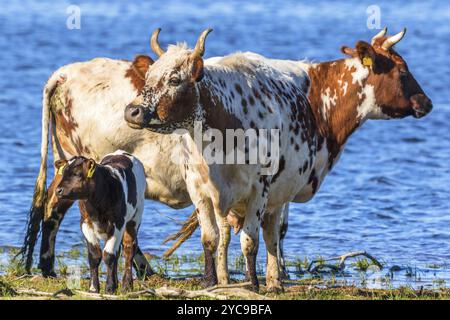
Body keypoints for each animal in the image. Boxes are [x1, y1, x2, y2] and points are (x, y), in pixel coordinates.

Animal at [53, 150, 146, 292]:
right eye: (63, 173)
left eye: (77, 174)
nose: (58, 190)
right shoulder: (85, 222)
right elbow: (94, 255)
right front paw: (93, 287)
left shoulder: (118, 222)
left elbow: (109, 254)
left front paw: (109, 288)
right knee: (118, 252)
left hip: (135, 218)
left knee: (129, 250)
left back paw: (126, 285)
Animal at [125, 27, 432, 292]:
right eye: (149, 77)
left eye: (175, 79)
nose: (133, 111)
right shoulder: (199, 188)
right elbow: (211, 238)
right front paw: (211, 282)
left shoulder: (261, 189)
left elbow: (251, 240)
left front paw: (253, 284)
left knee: (268, 232)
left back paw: (271, 282)